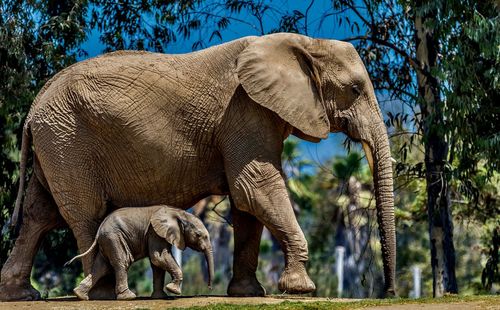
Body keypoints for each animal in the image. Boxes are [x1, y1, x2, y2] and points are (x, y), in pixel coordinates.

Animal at [66, 205, 213, 300]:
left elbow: (157, 263)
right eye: (199, 235)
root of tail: (99, 230)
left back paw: (80, 295)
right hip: (114, 238)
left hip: (108, 240)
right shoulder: (155, 232)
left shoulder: (158, 234)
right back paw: (128, 297)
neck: (178, 213)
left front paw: (160, 297)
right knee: (122, 262)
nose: (209, 288)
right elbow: (158, 258)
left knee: (102, 266)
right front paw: (173, 290)